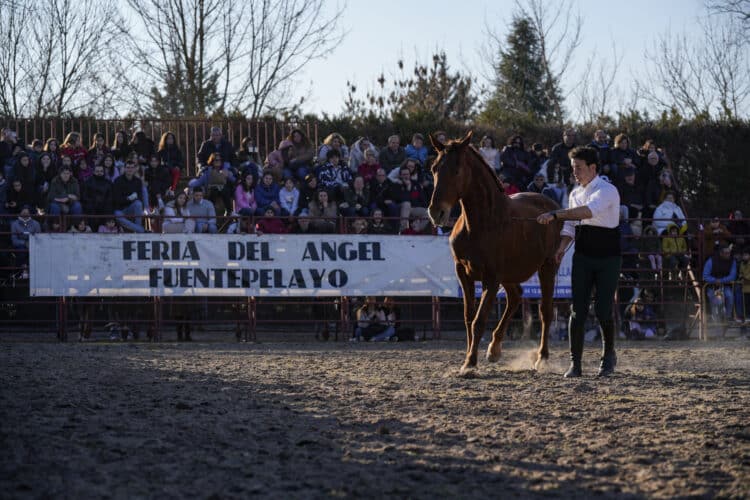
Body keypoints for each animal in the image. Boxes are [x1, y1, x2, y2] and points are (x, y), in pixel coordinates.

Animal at [427, 131, 563, 376]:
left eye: (456, 169)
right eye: (434, 168)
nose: (436, 212)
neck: (482, 223)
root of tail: (553, 208)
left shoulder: (491, 278)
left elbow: (479, 320)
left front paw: (470, 362)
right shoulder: (463, 273)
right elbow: (468, 317)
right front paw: (469, 357)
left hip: (547, 267)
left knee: (545, 311)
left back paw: (542, 358)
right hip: (509, 275)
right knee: (515, 296)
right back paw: (494, 349)